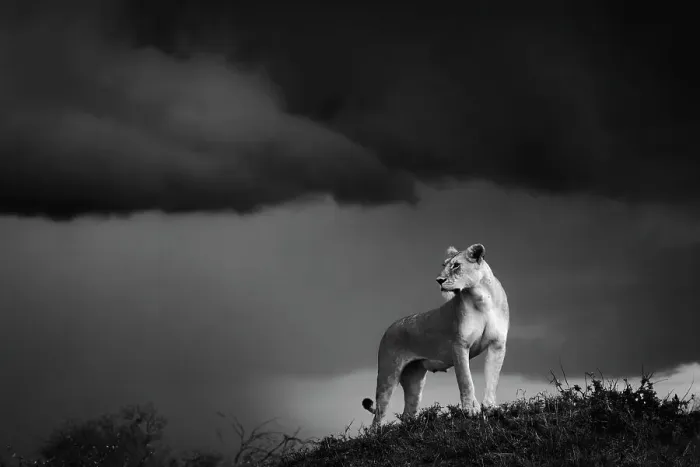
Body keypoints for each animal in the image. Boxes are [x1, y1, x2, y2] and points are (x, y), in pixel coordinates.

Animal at [361, 243, 509, 426]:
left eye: (456, 265)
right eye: (444, 265)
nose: (439, 280)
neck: (482, 298)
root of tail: (391, 327)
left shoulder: (498, 345)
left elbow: (492, 379)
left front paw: (491, 408)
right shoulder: (459, 345)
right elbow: (466, 380)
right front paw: (470, 410)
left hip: (414, 381)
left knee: (407, 414)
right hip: (388, 374)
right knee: (377, 418)